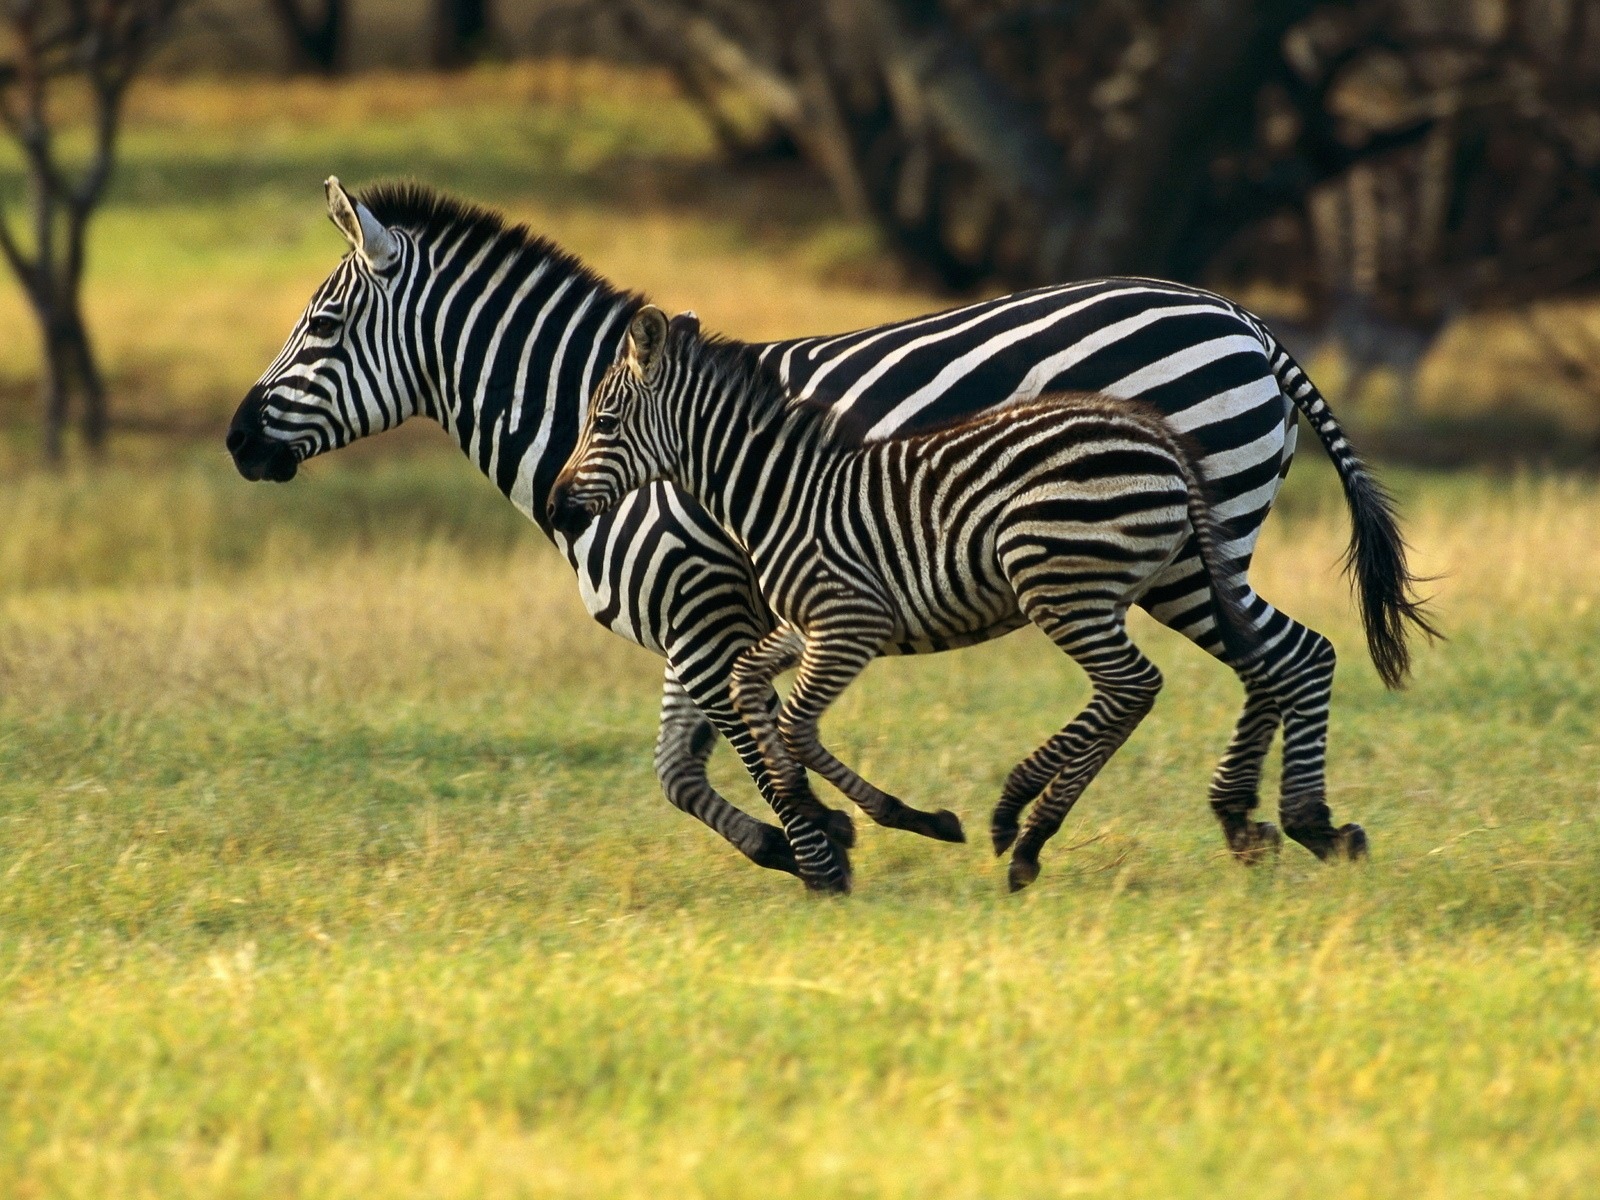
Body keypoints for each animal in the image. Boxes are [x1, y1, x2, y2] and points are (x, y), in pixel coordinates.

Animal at [553, 307, 1273, 896]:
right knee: (1145, 688)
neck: (780, 495)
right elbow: (748, 684)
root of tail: (1159, 438)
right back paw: (1033, 830)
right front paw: (808, 810)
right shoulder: (805, 626)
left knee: (1134, 685)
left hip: (1059, 583)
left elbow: (795, 724)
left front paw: (873, 819)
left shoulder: (852, 623)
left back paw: (1020, 821)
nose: (558, 508)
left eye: (603, 422)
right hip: (1099, 590)